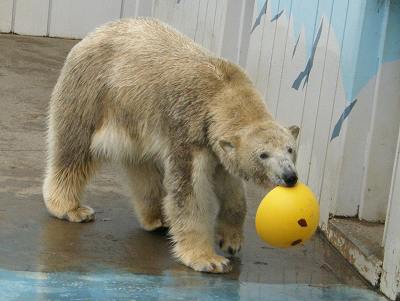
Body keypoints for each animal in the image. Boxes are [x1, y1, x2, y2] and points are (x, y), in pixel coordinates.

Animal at [43, 18, 300, 272]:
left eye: (290, 149)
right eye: (263, 155)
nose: (290, 177)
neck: (223, 90)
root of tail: (95, 33)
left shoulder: (214, 146)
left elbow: (231, 187)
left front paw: (231, 240)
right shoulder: (188, 132)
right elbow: (189, 193)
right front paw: (209, 260)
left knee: (143, 166)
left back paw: (157, 218)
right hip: (92, 92)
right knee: (74, 148)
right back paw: (71, 208)